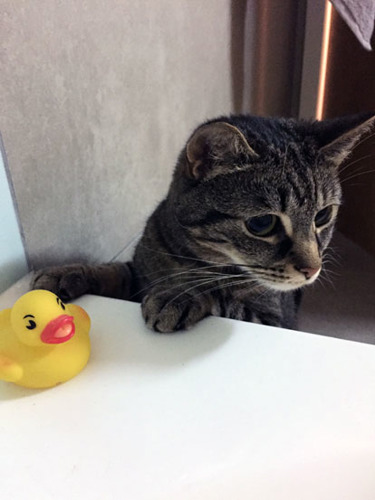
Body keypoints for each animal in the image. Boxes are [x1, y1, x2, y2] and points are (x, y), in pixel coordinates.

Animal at [33, 113, 375, 332]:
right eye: (262, 224)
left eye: (322, 216)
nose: (312, 269)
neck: (192, 259)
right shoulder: (139, 274)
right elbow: (113, 271)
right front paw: (67, 272)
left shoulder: (272, 317)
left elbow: (223, 299)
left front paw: (180, 296)